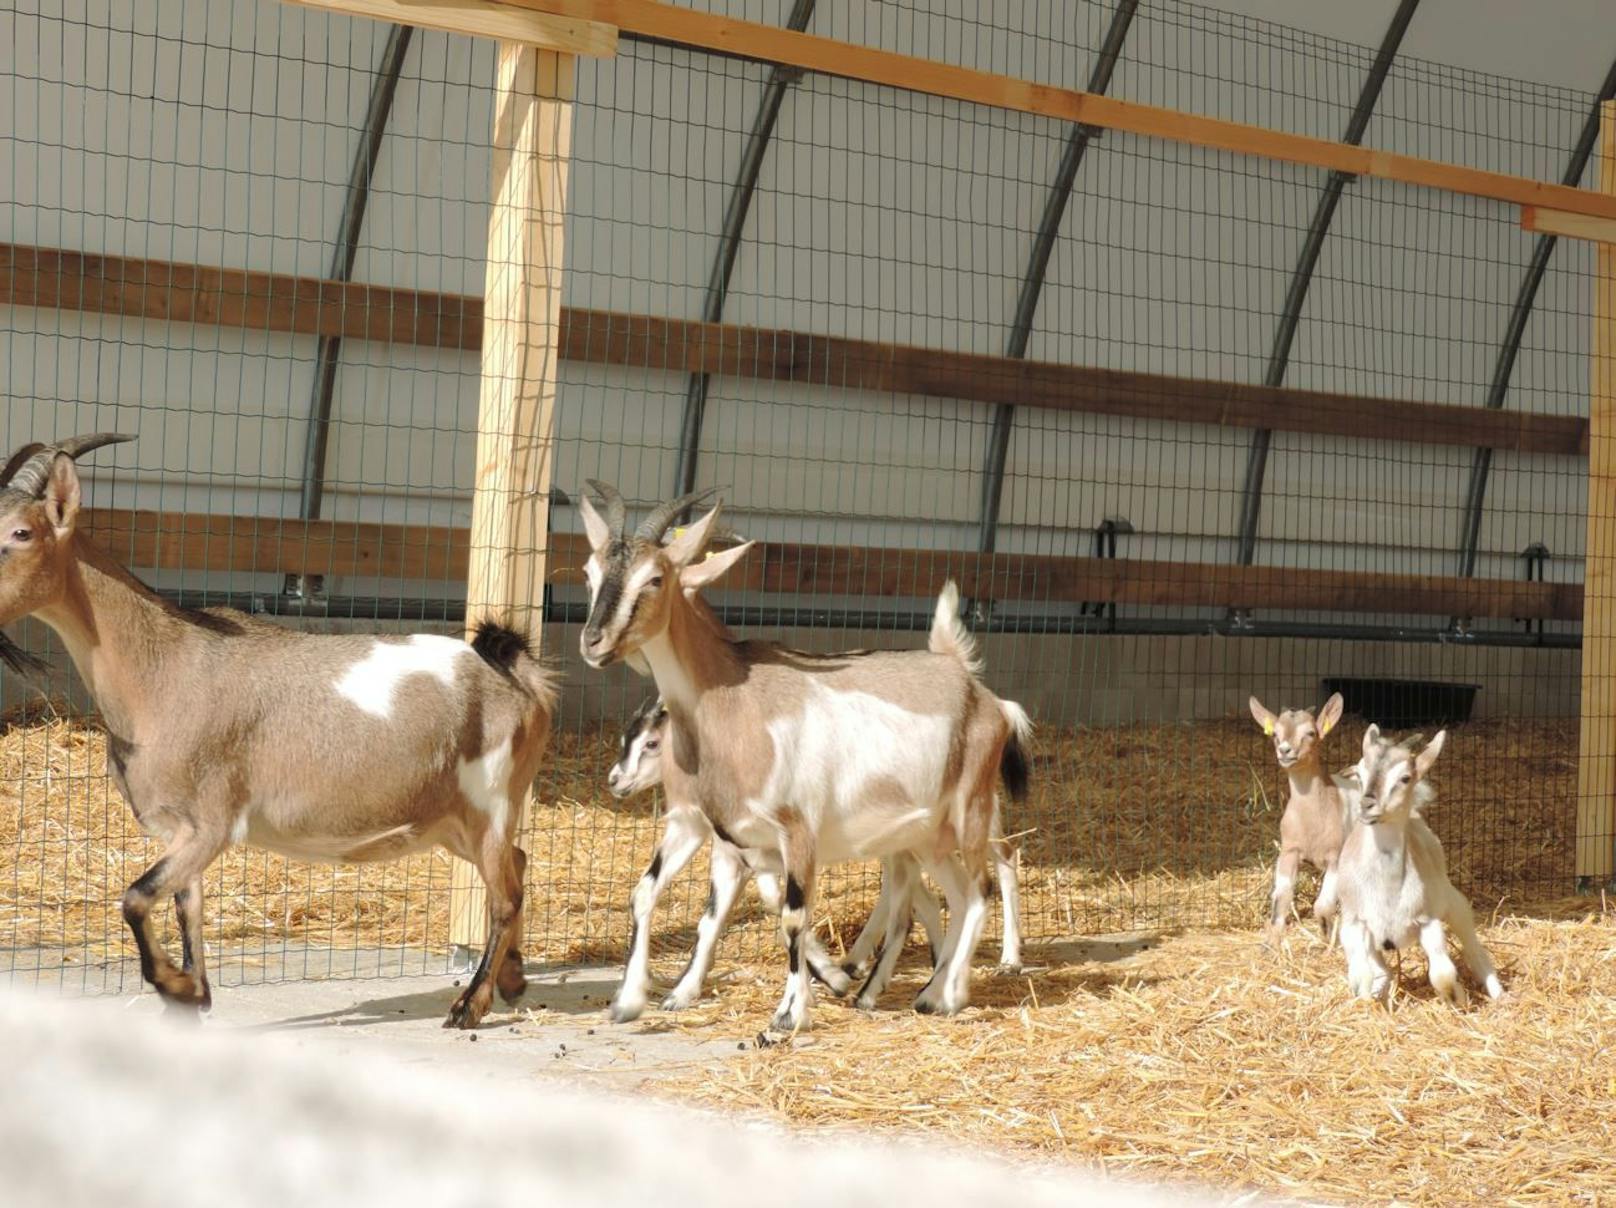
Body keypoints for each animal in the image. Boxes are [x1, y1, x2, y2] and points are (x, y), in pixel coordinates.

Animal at [0, 436, 555, 1027]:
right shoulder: (180, 831)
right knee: (518, 865)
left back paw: (469, 1005)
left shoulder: (212, 823)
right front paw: (192, 996)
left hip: (490, 800)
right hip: (452, 822)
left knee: (504, 894)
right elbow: (185, 906)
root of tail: (517, 675)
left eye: (22, 532)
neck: (163, 667)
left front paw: (176, 988)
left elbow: (135, 897)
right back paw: (513, 978)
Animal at [575, 484, 1027, 1033]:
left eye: (656, 577)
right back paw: (930, 994)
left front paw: (790, 1015)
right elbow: (663, 896)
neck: (738, 703)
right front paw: (630, 1001)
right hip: (928, 838)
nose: (593, 643)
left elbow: (793, 916)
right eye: (590, 572)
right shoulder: (730, 836)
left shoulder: (797, 834)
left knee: (983, 885)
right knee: (958, 896)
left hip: (971, 813)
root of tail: (982, 695)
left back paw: (952, 991)